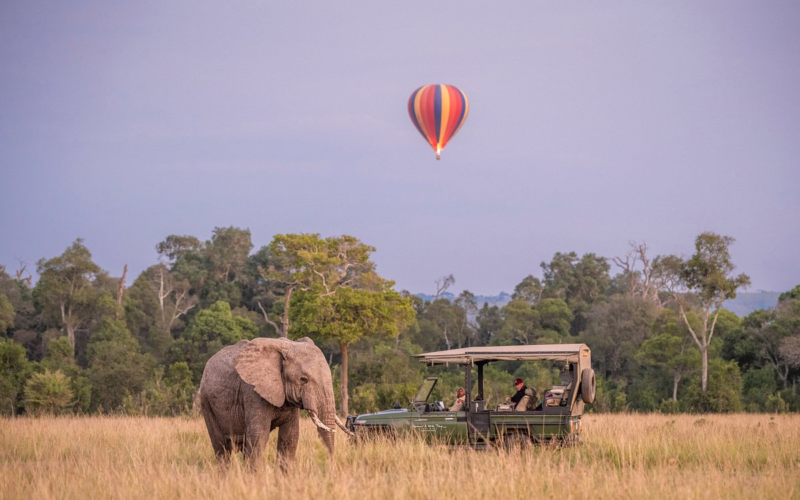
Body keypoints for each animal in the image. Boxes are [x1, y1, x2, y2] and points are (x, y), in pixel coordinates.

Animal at [198, 336, 352, 468]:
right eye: (303, 379)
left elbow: (290, 437)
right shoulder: (252, 392)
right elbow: (259, 437)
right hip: (206, 401)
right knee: (222, 448)